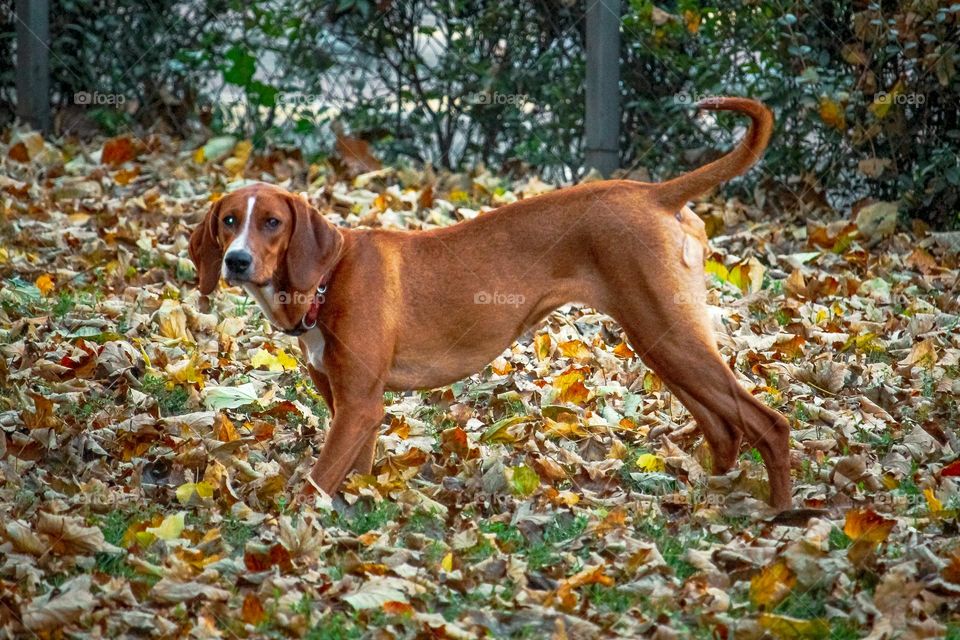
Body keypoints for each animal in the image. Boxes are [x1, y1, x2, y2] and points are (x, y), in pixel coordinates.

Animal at [191, 97, 792, 508]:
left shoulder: (359, 405)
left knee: (769, 424)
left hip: (670, 337)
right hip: (662, 342)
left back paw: (778, 518)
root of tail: (653, 193)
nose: (236, 261)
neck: (326, 279)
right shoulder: (352, 408)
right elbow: (353, 477)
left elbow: (312, 485)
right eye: (229, 221)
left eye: (272, 222)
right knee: (725, 428)